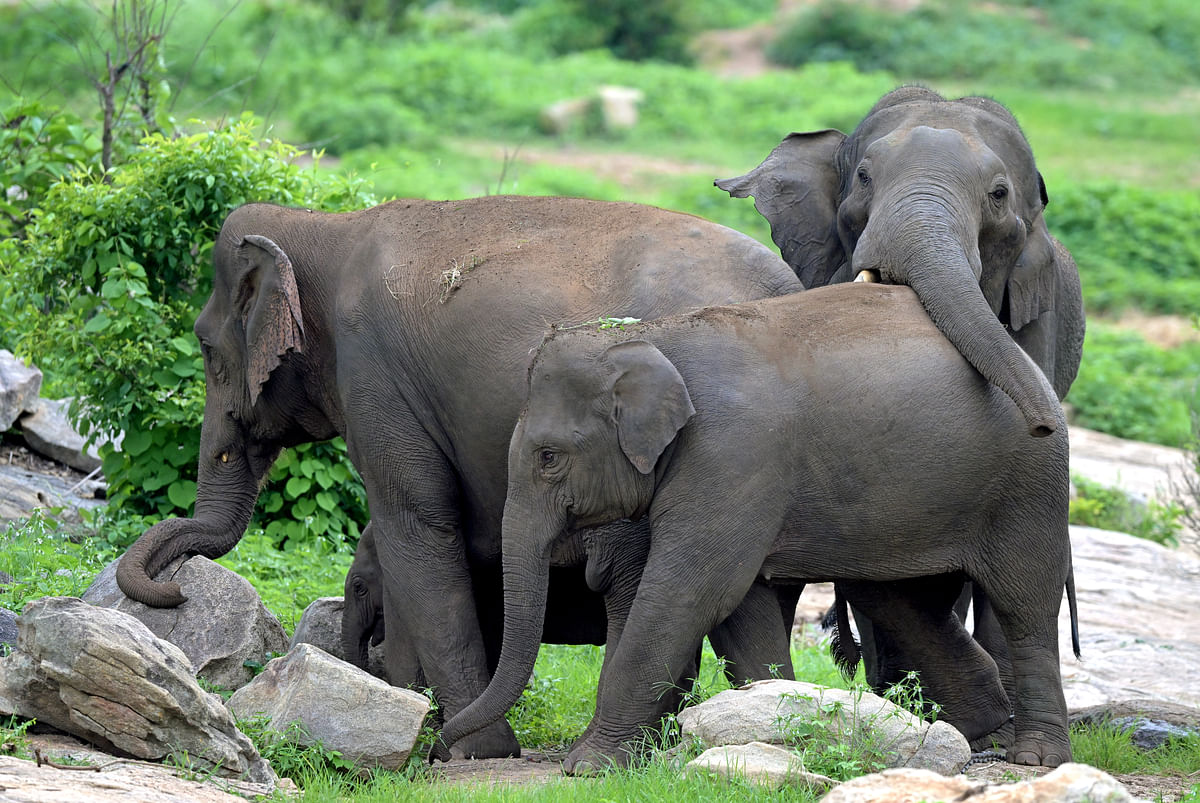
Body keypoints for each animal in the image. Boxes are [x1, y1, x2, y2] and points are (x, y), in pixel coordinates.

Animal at [114, 194, 806, 758]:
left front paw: (470, 749)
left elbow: (416, 520)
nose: (174, 592)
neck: (321, 227)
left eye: (207, 350)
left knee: (641, 575)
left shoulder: (374, 375)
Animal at [439, 283, 1080, 768]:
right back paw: (977, 734)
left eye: (549, 457)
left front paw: (587, 767)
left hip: (1029, 485)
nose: (441, 743)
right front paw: (778, 718)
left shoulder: (733, 455)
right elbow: (738, 607)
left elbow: (689, 594)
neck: (655, 337)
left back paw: (1035, 758)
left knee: (1024, 603)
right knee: (900, 600)